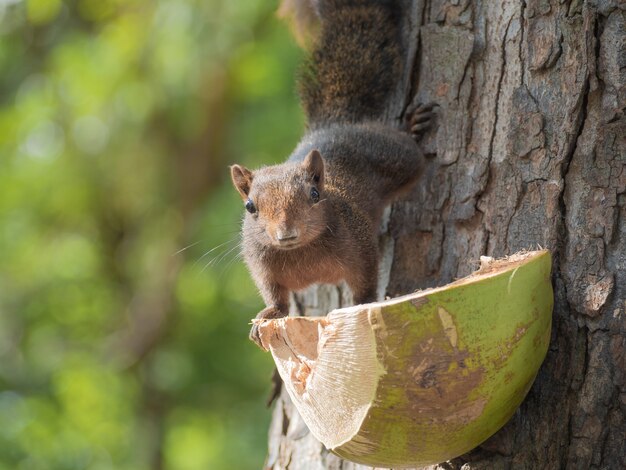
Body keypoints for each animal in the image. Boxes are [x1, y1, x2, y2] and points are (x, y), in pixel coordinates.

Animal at [229, 0, 434, 348]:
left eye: (314, 194)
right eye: (250, 207)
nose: (285, 234)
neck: (302, 252)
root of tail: (334, 123)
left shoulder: (360, 245)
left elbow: (365, 282)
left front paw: (363, 306)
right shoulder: (262, 266)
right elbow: (276, 297)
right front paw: (266, 316)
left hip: (395, 157)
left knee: (412, 154)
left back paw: (411, 127)